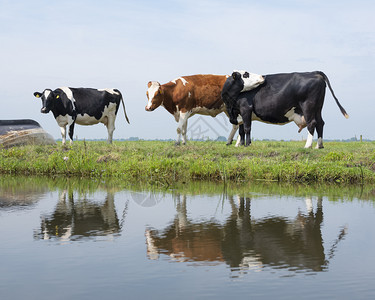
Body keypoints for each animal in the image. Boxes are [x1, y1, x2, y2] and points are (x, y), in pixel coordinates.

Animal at [222, 72, 352, 149]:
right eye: (246, 75)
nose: (262, 77)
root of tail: (313, 73)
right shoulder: (239, 113)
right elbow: (241, 130)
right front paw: (240, 145)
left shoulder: (246, 109)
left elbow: (247, 128)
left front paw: (247, 145)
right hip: (318, 108)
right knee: (320, 123)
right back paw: (318, 146)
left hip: (308, 106)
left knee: (312, 123)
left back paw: (308, 145)